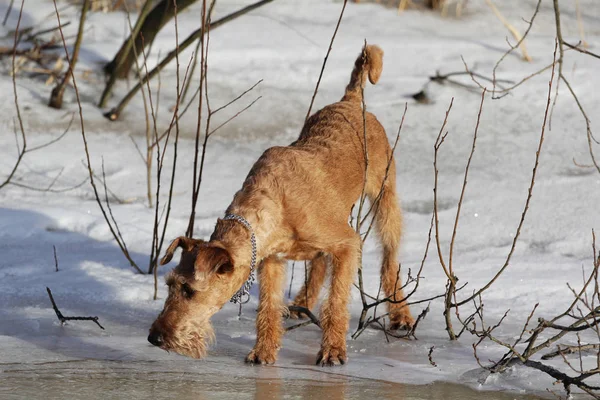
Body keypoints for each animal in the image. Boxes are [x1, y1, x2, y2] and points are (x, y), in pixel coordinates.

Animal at [148, 43, 414, 366]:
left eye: (188, 290)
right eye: (170, 284)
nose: (154, 338)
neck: (273, 206)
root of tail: (350, 100)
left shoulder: (348, 244)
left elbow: (336, 301)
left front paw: (332, 350)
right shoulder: (271, 262)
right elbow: (268, 307)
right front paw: (263, 352)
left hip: (385, 199)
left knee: (389, 259)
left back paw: (400, 314)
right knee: (319, 263)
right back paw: (302, 302)